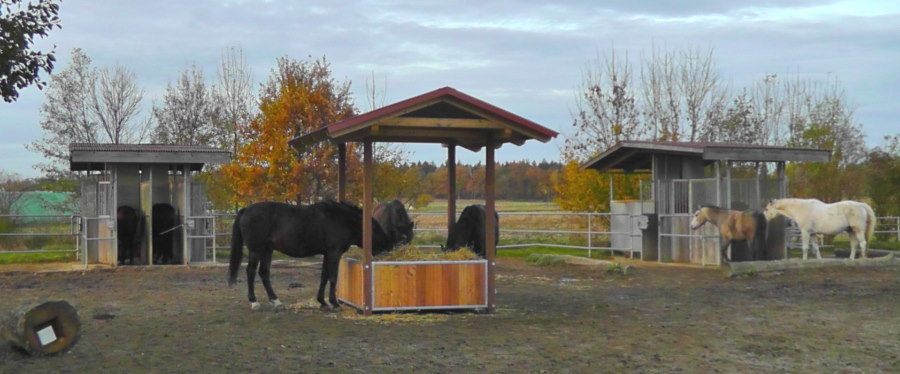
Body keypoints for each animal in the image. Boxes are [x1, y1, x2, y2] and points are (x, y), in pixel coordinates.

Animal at [227, 200, 392, 312]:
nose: (389, 247)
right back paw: (254, 301)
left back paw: (275, 300)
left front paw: (322, 302)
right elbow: (333, 277)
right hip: (256, 250)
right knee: (251, 272)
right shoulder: (334, 252)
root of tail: (246, 209)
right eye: (376, 229)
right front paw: (334, 303)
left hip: (267, 250)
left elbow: (324, 276)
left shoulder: (327, 253)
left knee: (264, 273)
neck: (340, 219)